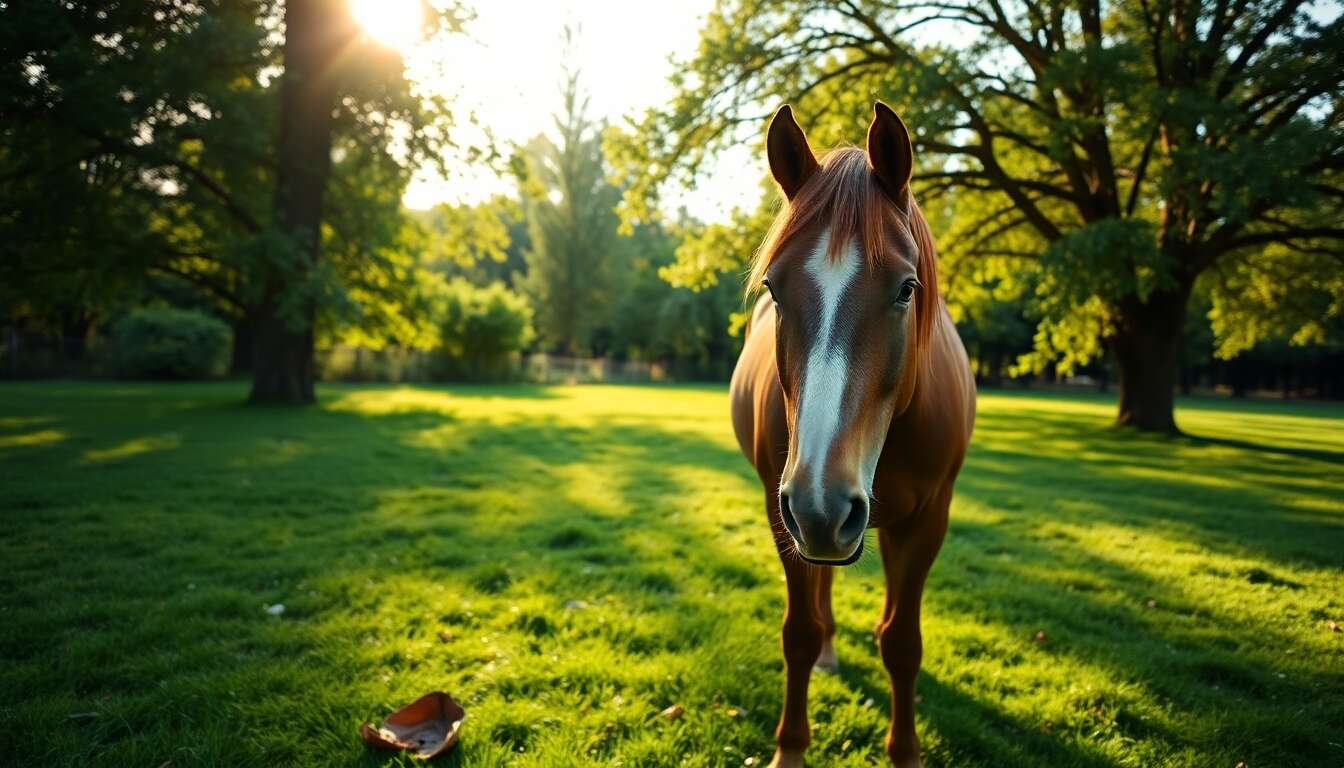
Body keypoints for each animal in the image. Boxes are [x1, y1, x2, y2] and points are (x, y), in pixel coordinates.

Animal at [729, 102, 976, 768]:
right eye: (773, 288)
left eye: (906, 288)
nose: (823, 501)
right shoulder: (783, 512)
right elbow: (799, 630)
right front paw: (790, 749)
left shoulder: (927, 520)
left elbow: (902, 643)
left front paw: (906, 751)